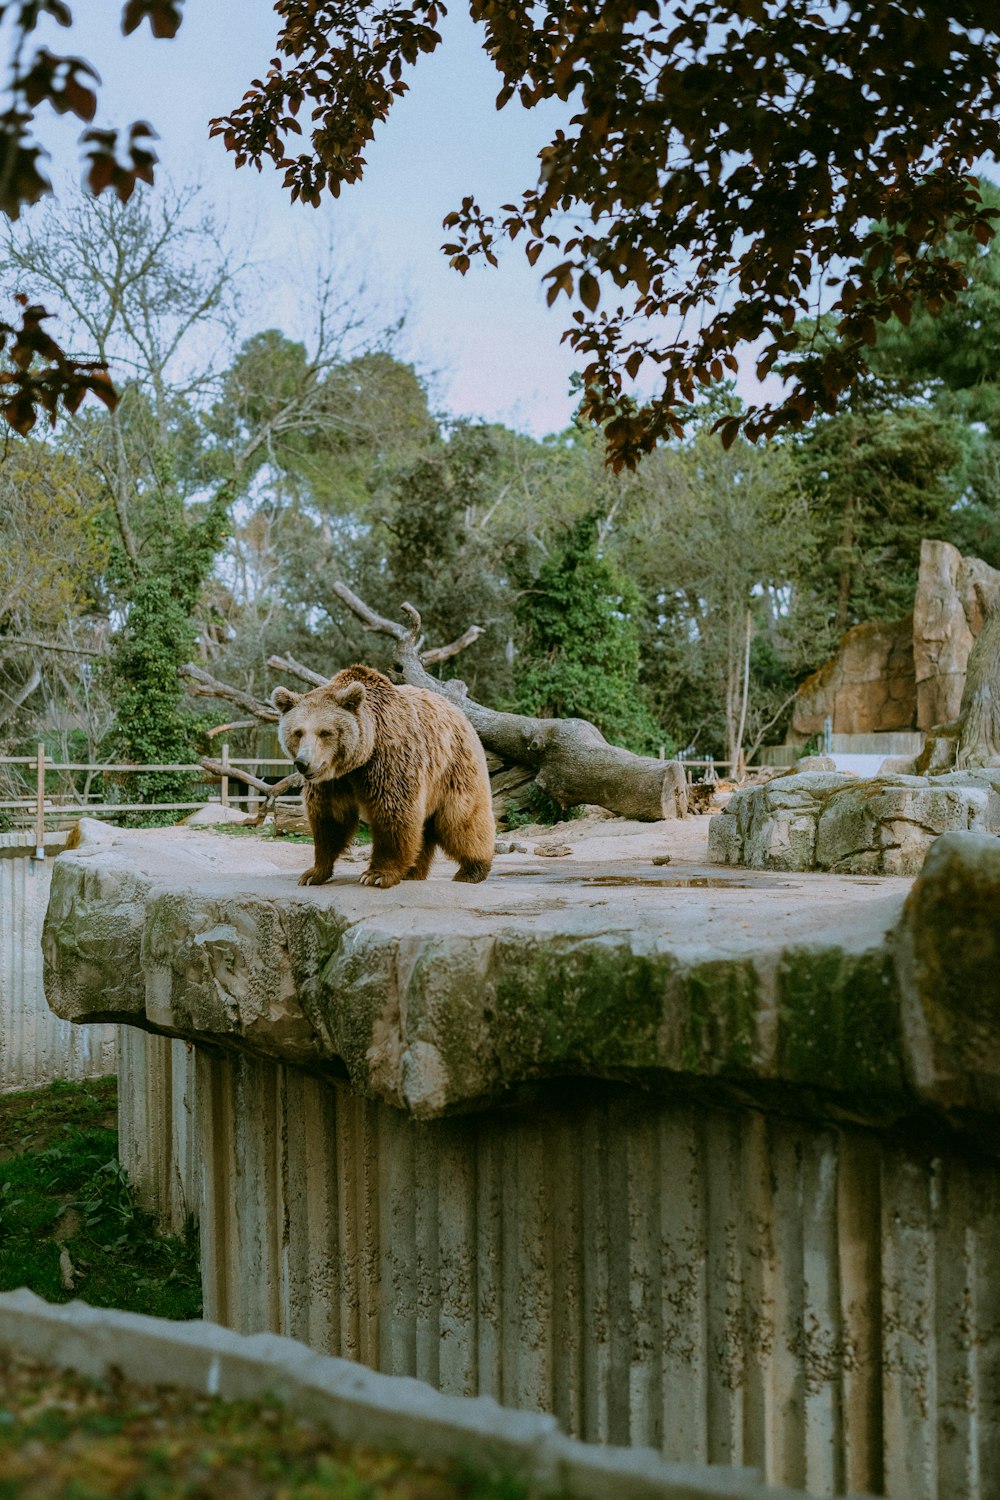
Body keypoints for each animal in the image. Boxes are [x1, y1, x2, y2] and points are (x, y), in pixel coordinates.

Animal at [271, 663, 494, 882]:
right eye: (298, 732)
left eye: (325, 732)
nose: (303, 763)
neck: (356, 762)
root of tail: (458, 711)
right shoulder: (332, 782)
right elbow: (330, 819)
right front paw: (313, 873)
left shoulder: (389, 760)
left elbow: (393, 811)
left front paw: (377, 874)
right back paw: (412, 871)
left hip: (454, 766)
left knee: (461, 817)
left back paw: (472, 869)